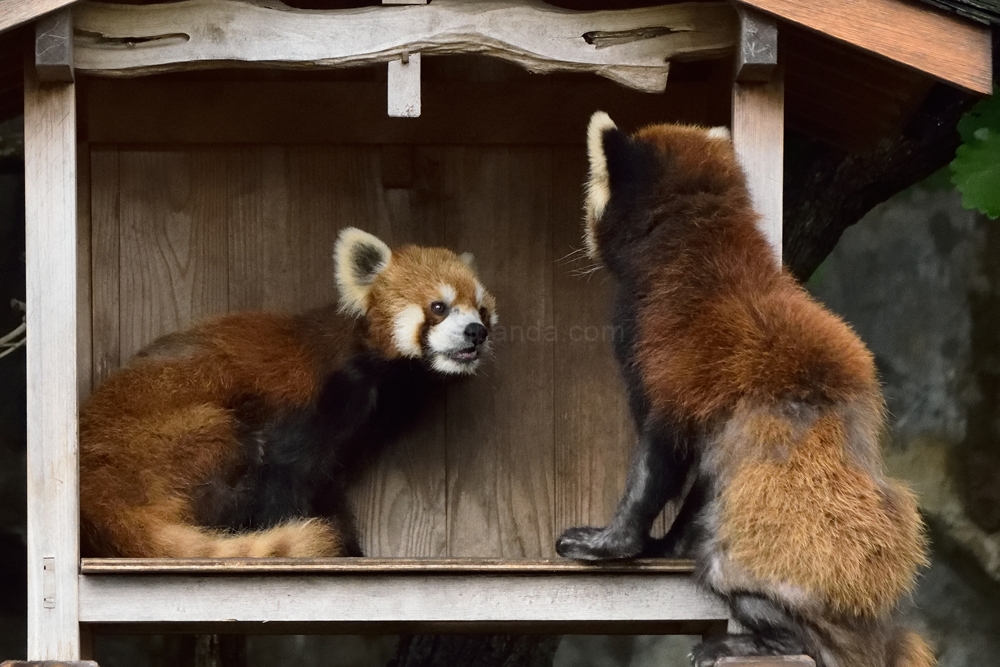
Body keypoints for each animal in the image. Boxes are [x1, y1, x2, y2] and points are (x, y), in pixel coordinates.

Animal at [81, 230, 496, 560]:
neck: (384, 377)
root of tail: (96, 496)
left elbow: (327, 487)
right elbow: (287, 474)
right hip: (176, 437)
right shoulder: (318, 403)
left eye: (482, 310)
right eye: (439, 307)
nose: (476, 332)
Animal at [560, 115, 932, 667]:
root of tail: (875, 632)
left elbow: (657, 463)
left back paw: (746, 641)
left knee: (750, 588)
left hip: (782, 565)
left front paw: (611, 542)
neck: (687, 238)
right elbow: (701, 483)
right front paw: (667, 545)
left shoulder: (664, 358)